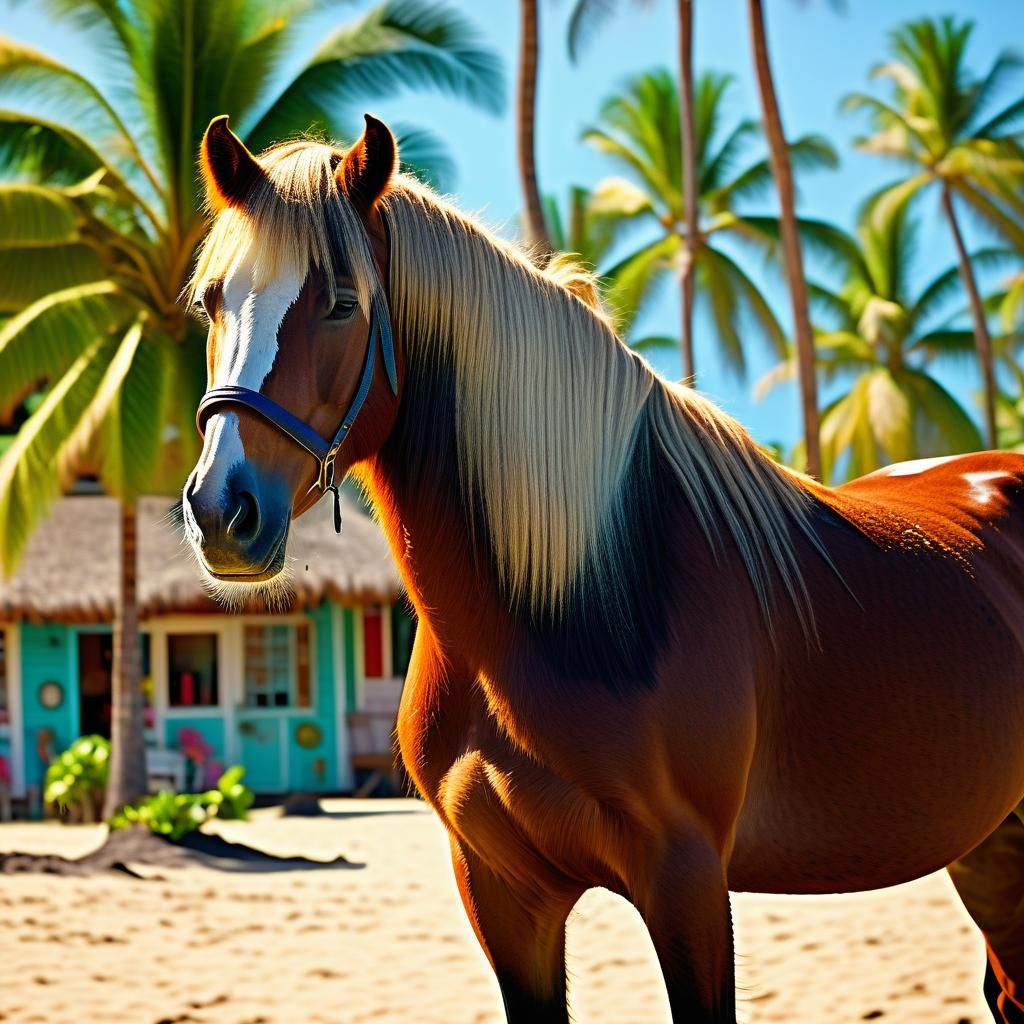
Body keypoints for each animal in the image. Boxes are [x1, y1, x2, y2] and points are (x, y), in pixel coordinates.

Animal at [181, 112, 1024, 1024]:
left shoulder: (686, 884)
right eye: (212, 300)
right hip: (989, 840)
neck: (569, 599)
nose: (222, 510)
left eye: (340, 303)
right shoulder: (500, 892)